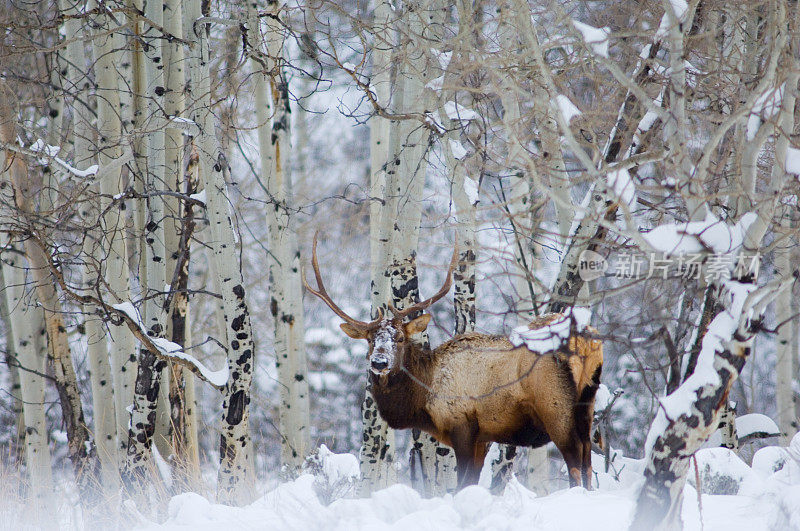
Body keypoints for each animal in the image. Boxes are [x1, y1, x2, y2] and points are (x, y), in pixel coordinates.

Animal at [304, 237, 604, 490]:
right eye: (369, 340)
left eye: (399, 338)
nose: (379, 362)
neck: (424, 397)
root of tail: (588, 342)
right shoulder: (484, 436)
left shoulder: (462, 424)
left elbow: (462, 483)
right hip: (586, 405)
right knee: (588, 462)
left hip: (556, 406)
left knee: (576, 464)